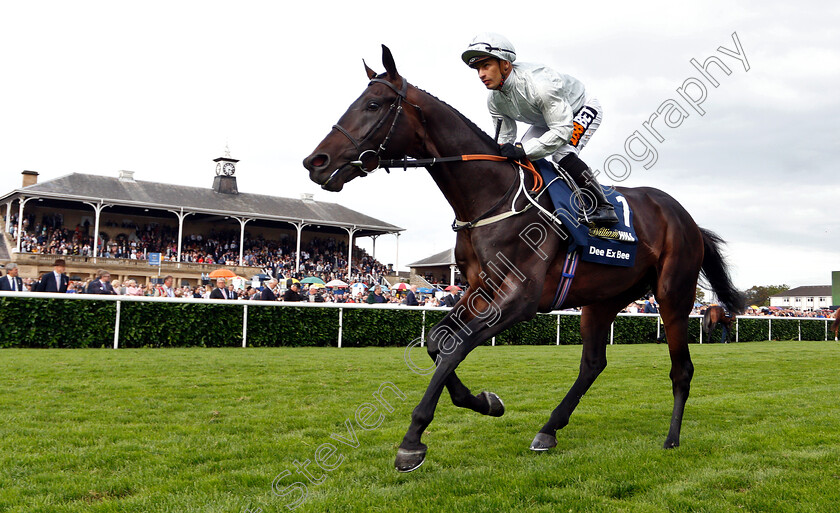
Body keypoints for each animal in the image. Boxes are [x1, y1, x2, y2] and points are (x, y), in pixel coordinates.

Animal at [300, 46, 740, 470]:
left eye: (374, 104)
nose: (315, 162)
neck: (491, 197)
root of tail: (686, 218)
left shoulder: (520, 298)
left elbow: (456, 347)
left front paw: (412, 441)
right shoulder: (479, 287)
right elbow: (438, 341)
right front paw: (484, 402)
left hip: (672, 295)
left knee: (681, 369)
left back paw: (671, 439)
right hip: (602, 299)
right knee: (593, 363)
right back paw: (549, 429)